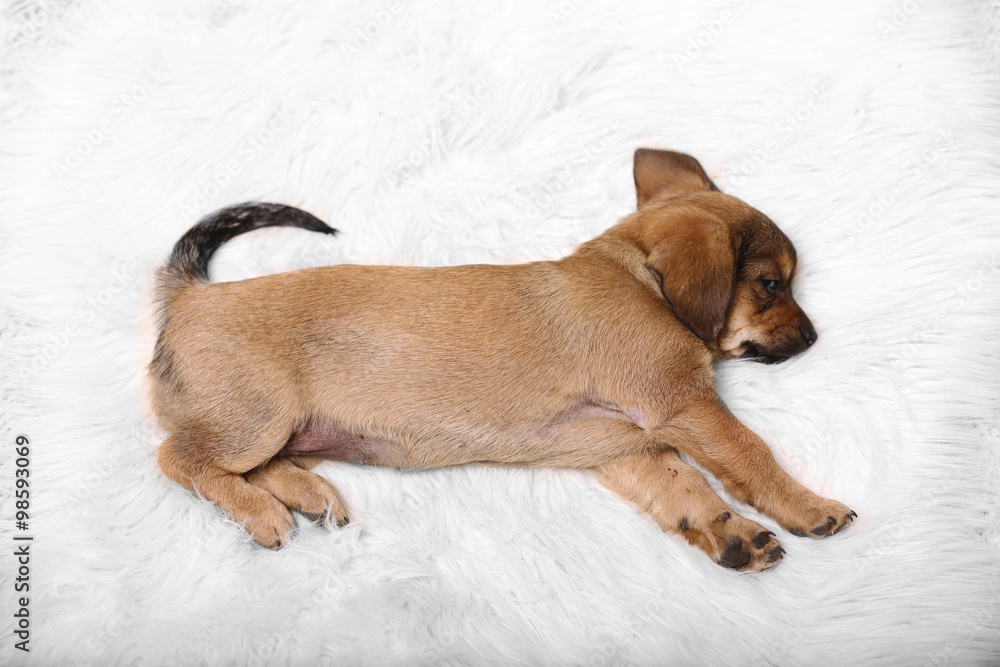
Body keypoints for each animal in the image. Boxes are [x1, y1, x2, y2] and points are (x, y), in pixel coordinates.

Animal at [152, 149, 856, 572]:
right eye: (771, 284)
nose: (814, 339)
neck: (641, 282)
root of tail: (190, 295)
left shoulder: (631, 446)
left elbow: (687, 491)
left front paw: (733, 535)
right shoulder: (685, 407)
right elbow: (752, 457)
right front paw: (809, 507)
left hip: (289, 429)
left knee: (246, 464)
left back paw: (309, 494)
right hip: (257, 417)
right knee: (181, 460)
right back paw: (263, 514)